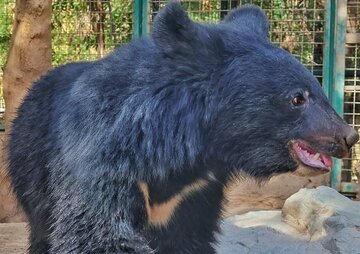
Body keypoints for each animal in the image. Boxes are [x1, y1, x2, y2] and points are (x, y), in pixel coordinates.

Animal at [7, 2, 358, 254]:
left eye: (318, 90)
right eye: (297, 98)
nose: (348, 136)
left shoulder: (196, 193)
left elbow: (189, 238)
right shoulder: (101, 158)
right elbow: (97, 232)